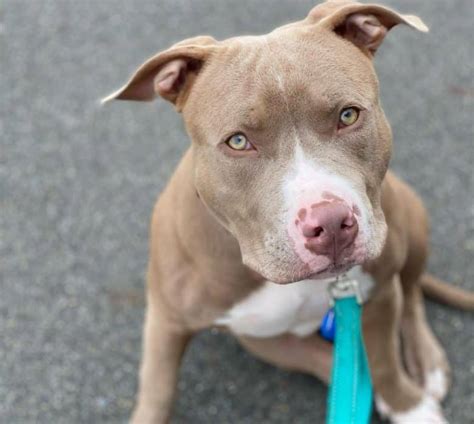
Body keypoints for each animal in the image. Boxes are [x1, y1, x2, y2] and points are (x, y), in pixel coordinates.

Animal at [103, 0, 474, 424]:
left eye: (348, 115)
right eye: (238, 141)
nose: (331, 224)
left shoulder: (380, 294)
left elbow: (384, 362)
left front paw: (409, 408)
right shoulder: (166, 320)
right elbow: (157, 392)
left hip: (408, 217)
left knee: (410, 294)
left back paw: (426, 368)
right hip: (261, 338)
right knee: (326, 360)